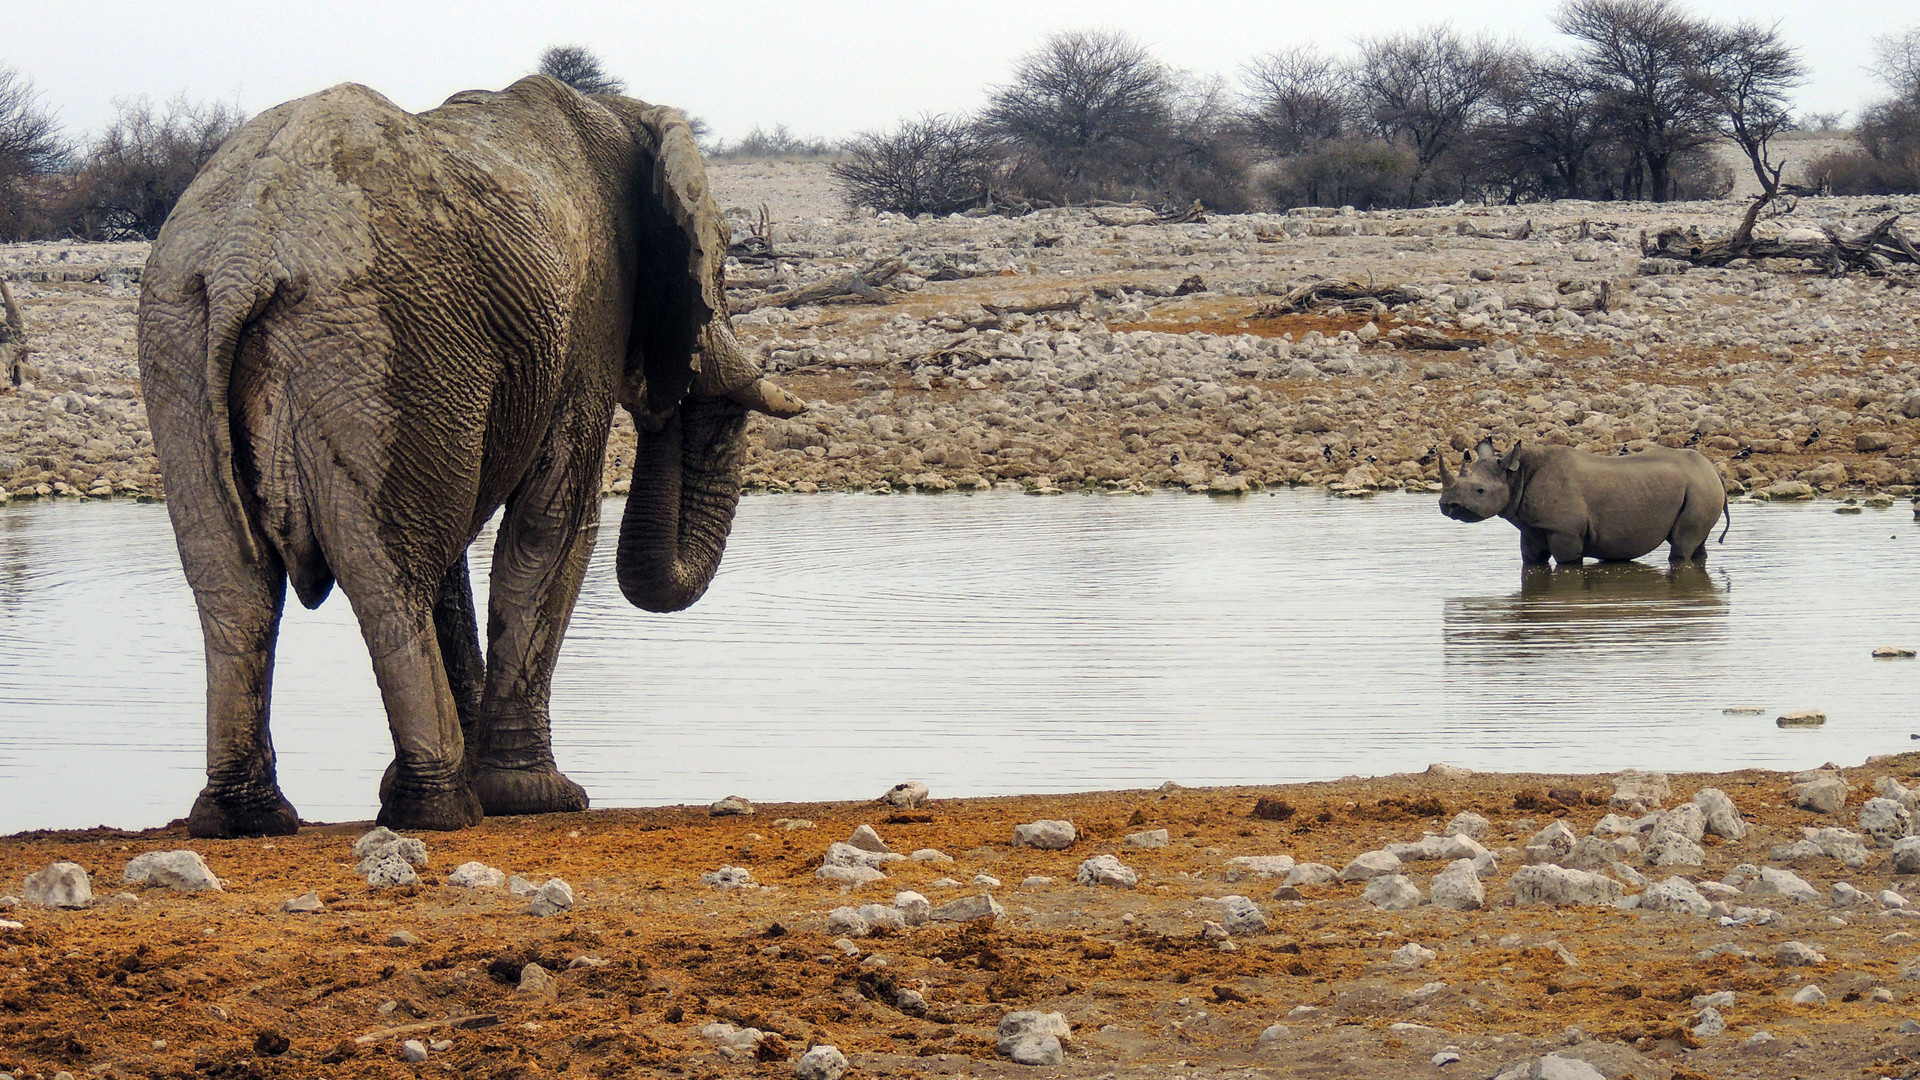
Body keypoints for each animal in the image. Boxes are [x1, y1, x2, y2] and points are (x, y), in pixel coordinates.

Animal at [137, 77, 802, 834]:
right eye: (719, 264)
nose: (670, 400)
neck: (622, 112)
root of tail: (244, 251)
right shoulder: (588, 321)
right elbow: (553, 527)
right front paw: (538, 799)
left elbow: (457, 548)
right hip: (377, 345)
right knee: (387, 577)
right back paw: (437, 810)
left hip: (181, 338)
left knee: (233, 580)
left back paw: (247, 817)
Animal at [1436, 438, 1735, 568]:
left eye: (1480, 491)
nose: (1447, 506)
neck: (1516, 475)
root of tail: (1713, 469)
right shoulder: (1531, 527)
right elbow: (1531, 560)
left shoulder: (1564, 531)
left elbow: (1568, 563)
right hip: (1699, 486)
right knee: (1696, 543)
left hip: (1700, 487)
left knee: (1682, 545)